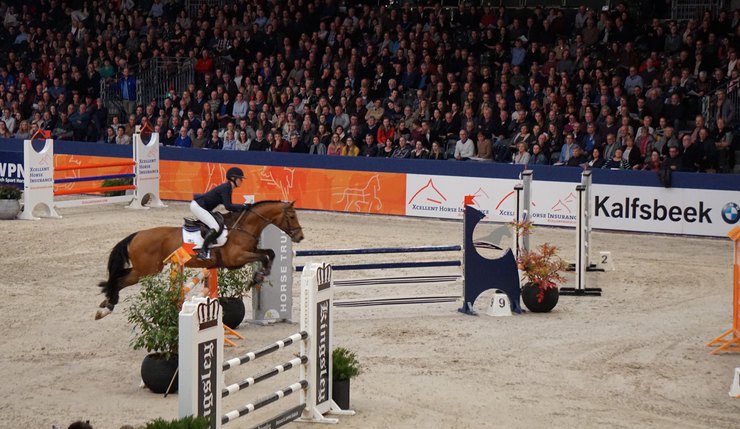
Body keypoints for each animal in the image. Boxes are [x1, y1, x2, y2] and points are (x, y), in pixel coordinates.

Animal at [95, 200, 304, 320]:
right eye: (292, 216)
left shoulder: (249, 252)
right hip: (146, 271)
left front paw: (259, 276)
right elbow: (264, 256)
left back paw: (105, 301)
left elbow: (270, 253)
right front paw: (257, 278)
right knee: (119, 280)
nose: (299, 236)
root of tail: (136, 235)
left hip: (144, 269)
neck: (243, 227)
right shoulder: (236, 258)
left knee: (117, 278)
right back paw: (107, 307)